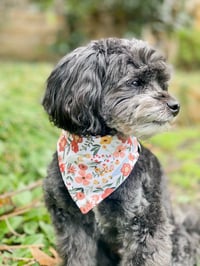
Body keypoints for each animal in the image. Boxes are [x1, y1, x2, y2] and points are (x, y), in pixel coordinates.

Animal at [41, 38, 199, 266]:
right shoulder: (72, 221)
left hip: (178, 238)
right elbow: (78, 255)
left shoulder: (145, 223)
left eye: (162, 83)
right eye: (135, 83)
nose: (175, 105)